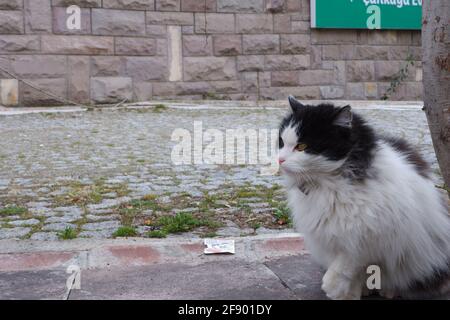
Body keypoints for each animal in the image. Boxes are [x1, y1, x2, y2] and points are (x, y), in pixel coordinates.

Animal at [278, 96, 450, 298]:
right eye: (282, 142)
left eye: (302, 146)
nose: (279, 160)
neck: (328, 183)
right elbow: (351, 273)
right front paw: (348, 295)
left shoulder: (369, 234)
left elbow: (348, 261)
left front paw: (332, 286)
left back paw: (387, 291)